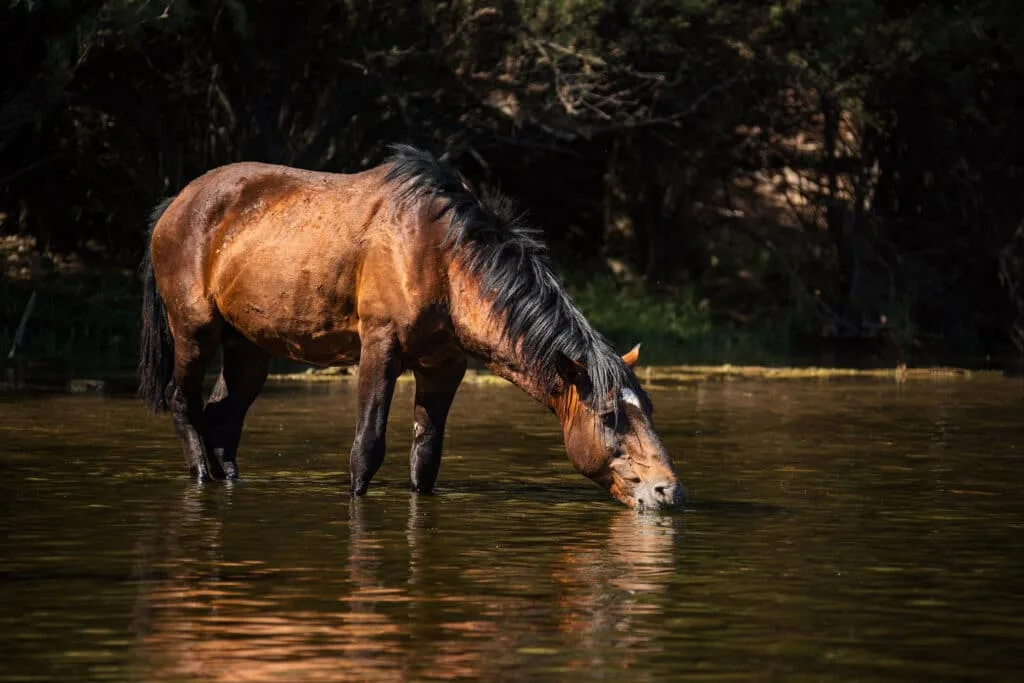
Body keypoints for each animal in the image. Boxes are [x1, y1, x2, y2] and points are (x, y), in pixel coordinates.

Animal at [138, 145, 685, 511]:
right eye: (610, 416)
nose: (669, 490)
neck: (444, 259)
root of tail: (173, 206)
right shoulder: (379, 348)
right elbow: (366, 450)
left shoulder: (444, 367)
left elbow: (426, 459)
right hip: (195, 330)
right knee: (185, 404)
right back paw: (200, 477)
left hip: (248, 345)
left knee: (223, 418)